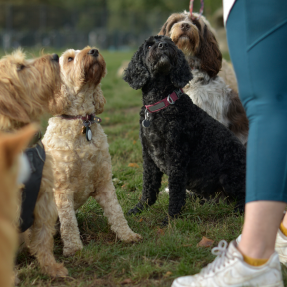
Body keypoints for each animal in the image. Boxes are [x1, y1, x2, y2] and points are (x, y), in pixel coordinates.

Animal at [42, 46, 142, 256]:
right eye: (69, 58)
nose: (94, 50)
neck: (82, 120)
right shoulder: (62, 189)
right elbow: (69, 222)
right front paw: (74, 248)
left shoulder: (104, 180)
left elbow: (116, 211)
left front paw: (128, 235)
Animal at [122, 36, 246, 220]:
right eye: (149, 45)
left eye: (170, 43)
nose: (162, 45)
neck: (161, 104)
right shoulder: (149, 157)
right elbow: (149, 187)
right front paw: (139, 209)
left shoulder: (176, 156)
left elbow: (175, 191)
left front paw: (171, 218)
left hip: (229, 176)